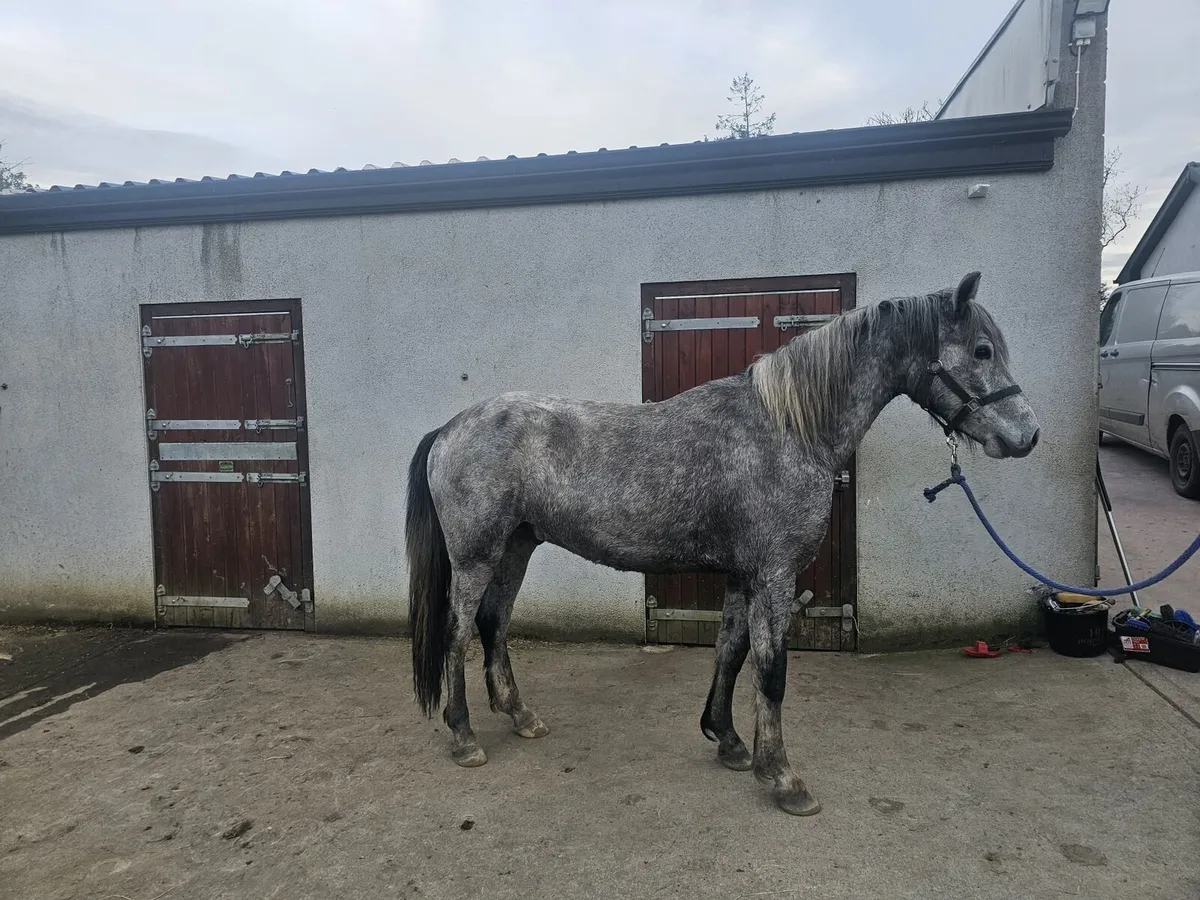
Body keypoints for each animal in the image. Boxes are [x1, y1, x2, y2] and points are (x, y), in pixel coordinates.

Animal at [404, 271, 1039, 816]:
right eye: (982, 351)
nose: (1028, 435)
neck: (787, 430)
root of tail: (451, 428)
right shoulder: (776, 575)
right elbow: (772, 670)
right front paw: (782, 777)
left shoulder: (744, 575)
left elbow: (731, 653)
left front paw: (729, 741)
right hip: (476, 556)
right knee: (458, 632)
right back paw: (463, 736)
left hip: (515, 548)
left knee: (494, 623)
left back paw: (520, 715)